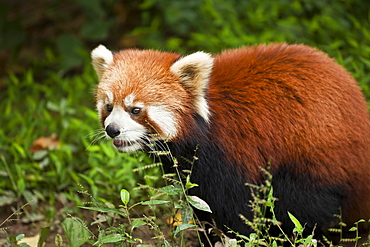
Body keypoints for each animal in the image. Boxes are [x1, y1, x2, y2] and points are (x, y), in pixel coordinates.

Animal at [91, 43, 370, 243]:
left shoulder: (233, 154)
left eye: (135, 110)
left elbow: (236, 214)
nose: (112, 130)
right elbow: (203, 209)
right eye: (109, 106)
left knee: (304, 209)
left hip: (316, 159)